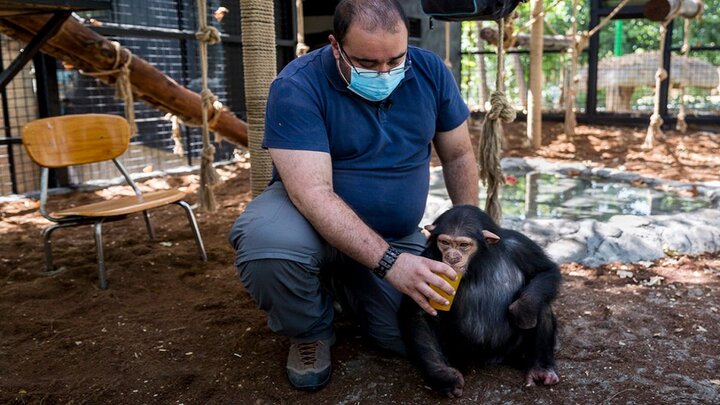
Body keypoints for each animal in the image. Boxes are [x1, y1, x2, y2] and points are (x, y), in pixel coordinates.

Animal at [400, 207, 564, 396]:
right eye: (445, 242)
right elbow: (419, 312)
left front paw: (524, 308)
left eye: (463, 245)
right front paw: (444, 377)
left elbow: (545, 270)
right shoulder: (427, 261)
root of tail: (494, 359)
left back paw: (541, 368)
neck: (479, 262)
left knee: (540, 303)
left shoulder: (522, 245)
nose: (452, 257)